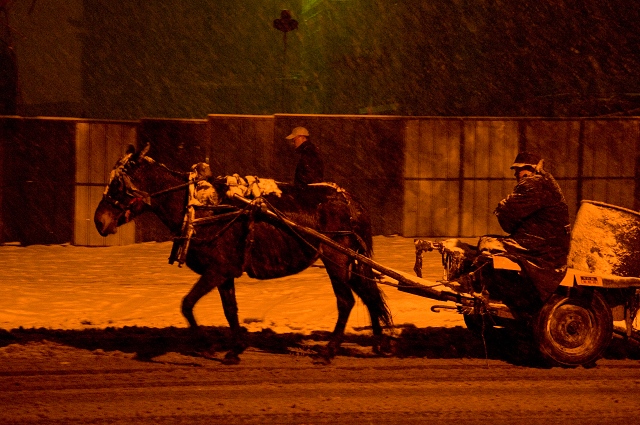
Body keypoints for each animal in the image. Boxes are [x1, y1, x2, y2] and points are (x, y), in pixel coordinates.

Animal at [92, 144, 392, 362]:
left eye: (117, 185)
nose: (98, 221)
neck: (202, 208)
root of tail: (348, 200)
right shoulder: (225, 274)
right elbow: (230, 310)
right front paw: (235, 349)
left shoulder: (217, 270)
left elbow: (187, 304)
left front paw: (207, 346)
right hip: (349, 260)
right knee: (368, 296)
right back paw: (380, 343)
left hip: (336, 258)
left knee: (346, 301)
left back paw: (329, 351)